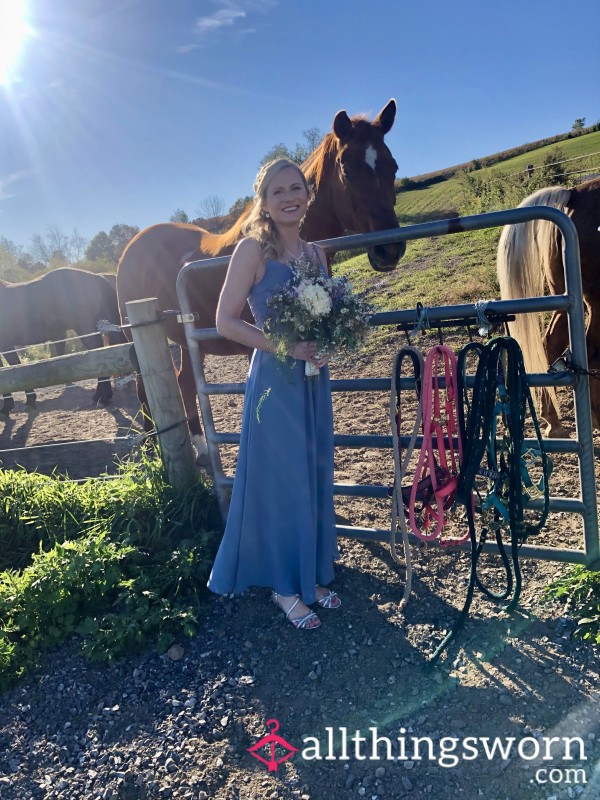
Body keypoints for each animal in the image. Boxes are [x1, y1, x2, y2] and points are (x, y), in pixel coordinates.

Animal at [0, 270, 124, 418]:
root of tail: (95, 277)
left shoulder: (5, 346)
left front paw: (17, 404)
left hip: (86, 329)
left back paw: (102, 398)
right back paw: (101, 397)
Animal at [116, 100, 408, 456]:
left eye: (392, 167)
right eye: (347, 170)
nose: (390, 249)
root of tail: (131, 248)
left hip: (186, 341)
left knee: (185, 382)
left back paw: (201, 447)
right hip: (135, 341)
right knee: (143, 389)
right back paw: (150, 449)